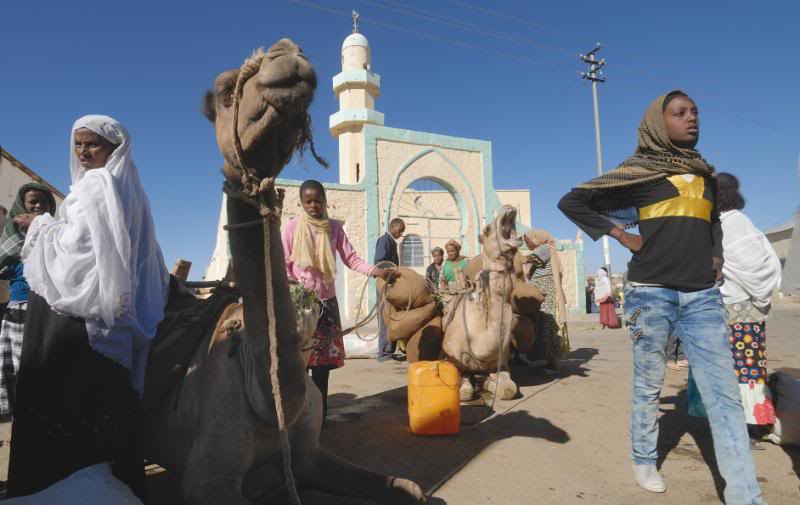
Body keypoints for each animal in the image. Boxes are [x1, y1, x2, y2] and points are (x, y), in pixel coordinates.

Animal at [144, 38, 424, 504]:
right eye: (225, 89)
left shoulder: (309, 456)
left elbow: (408, 487)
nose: (286, 55)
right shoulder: (207, 478)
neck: (265, 397)